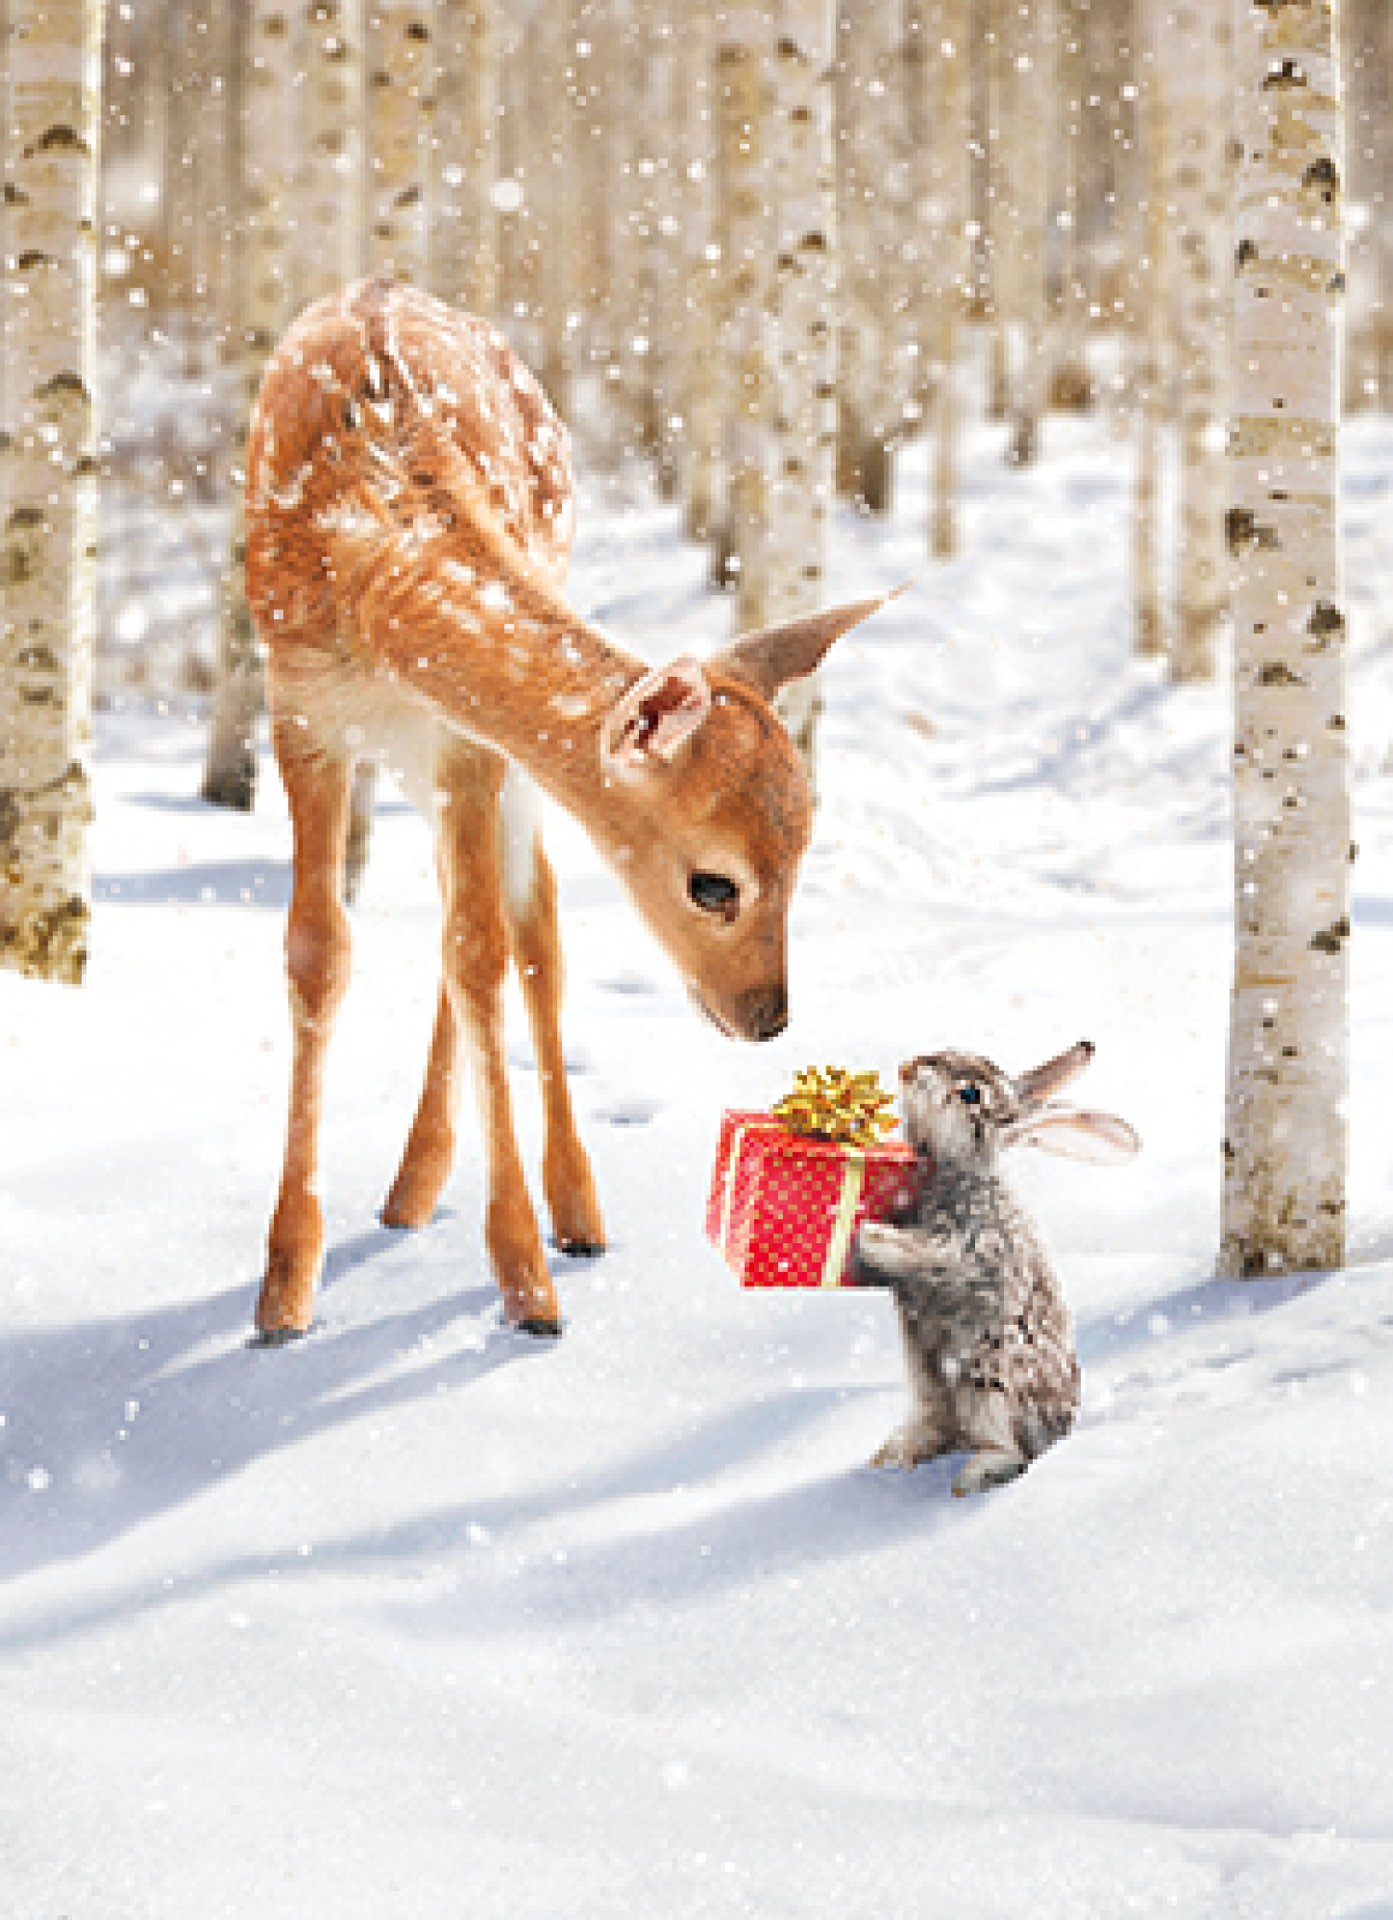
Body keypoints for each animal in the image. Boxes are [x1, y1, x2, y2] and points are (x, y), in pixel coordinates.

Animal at [244, 276, 895, 1342]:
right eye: (715, 883)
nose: (768, 1019)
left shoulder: (466, 745)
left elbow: (482, 952)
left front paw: (525, 1283)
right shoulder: (298, 706)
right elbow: (317, 952)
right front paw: (285, 1289)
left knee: (522, 926)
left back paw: (567, 1211)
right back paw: (411, 1192)